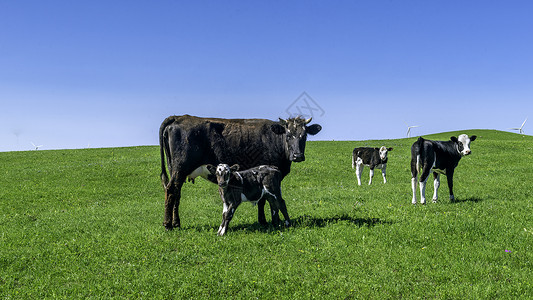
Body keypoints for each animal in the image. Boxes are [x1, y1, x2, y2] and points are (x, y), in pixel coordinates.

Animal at [158, 115, 320, 230]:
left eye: (304, 135)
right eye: (288, 135)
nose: (297, 156)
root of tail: (179, 117)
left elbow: (263, 199)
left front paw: (263, 220)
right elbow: (266, 199)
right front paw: (267, 221)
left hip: (175, 170)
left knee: (176, 193)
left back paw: (176, 223)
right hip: (180, 169)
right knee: (171, 191)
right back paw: (167, 224)